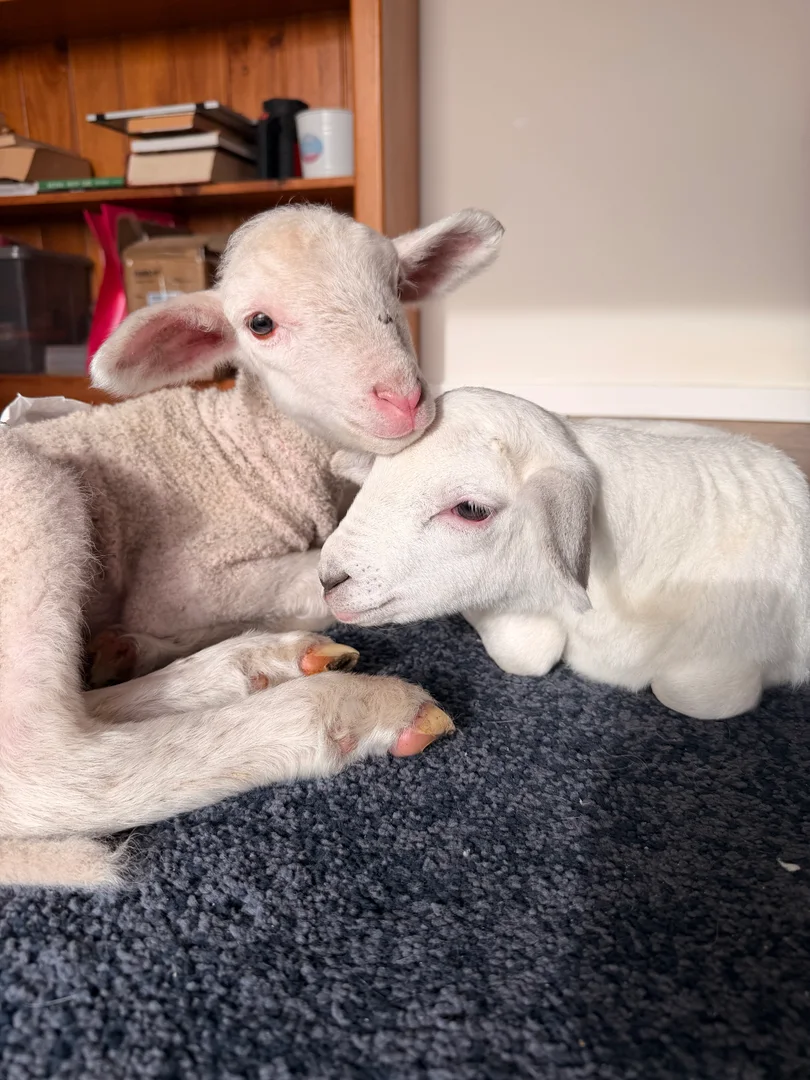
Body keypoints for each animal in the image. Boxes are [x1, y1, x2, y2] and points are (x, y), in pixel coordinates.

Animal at [0, 207, 504, 888]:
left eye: (397, 288)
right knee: (42, 759)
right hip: (33, 505)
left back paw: (245, 663)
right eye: (259, 324)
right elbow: (319, 583)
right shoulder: (179, 580)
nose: (404, 399)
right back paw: (347, 707)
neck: (245, 448)